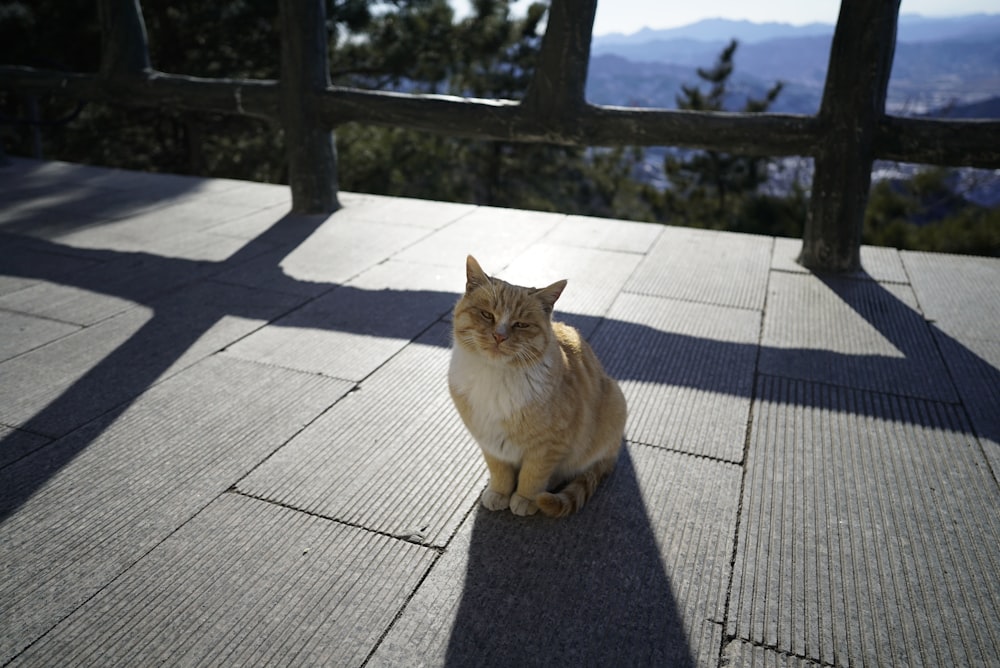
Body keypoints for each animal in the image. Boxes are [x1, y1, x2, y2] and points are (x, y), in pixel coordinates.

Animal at [452, 253, 628, 520]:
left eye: (521, 325)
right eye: (487, 315)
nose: (499, 336)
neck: (495, 375)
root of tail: (614, 451)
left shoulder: (548, 446)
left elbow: (532, 475)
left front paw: (525, 498)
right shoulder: (488, 440)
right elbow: (499, 471)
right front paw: (499, 492)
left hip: (616, 400)